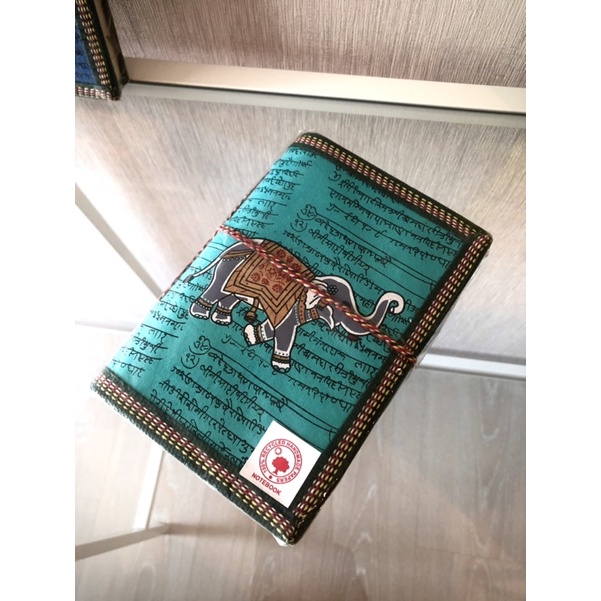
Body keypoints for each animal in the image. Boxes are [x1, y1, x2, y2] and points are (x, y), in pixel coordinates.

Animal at [184, 238, 405, 372]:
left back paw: (221, 320)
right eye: (343, 305)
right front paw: (281, 367)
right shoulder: (291, 309)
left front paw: (249, 336)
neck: (314, 282)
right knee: (217, 291)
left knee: (230, 297)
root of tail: (236, 245)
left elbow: (273, 330)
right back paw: (200, 314)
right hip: (228, 268)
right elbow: (284, 333)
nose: (395, 306)